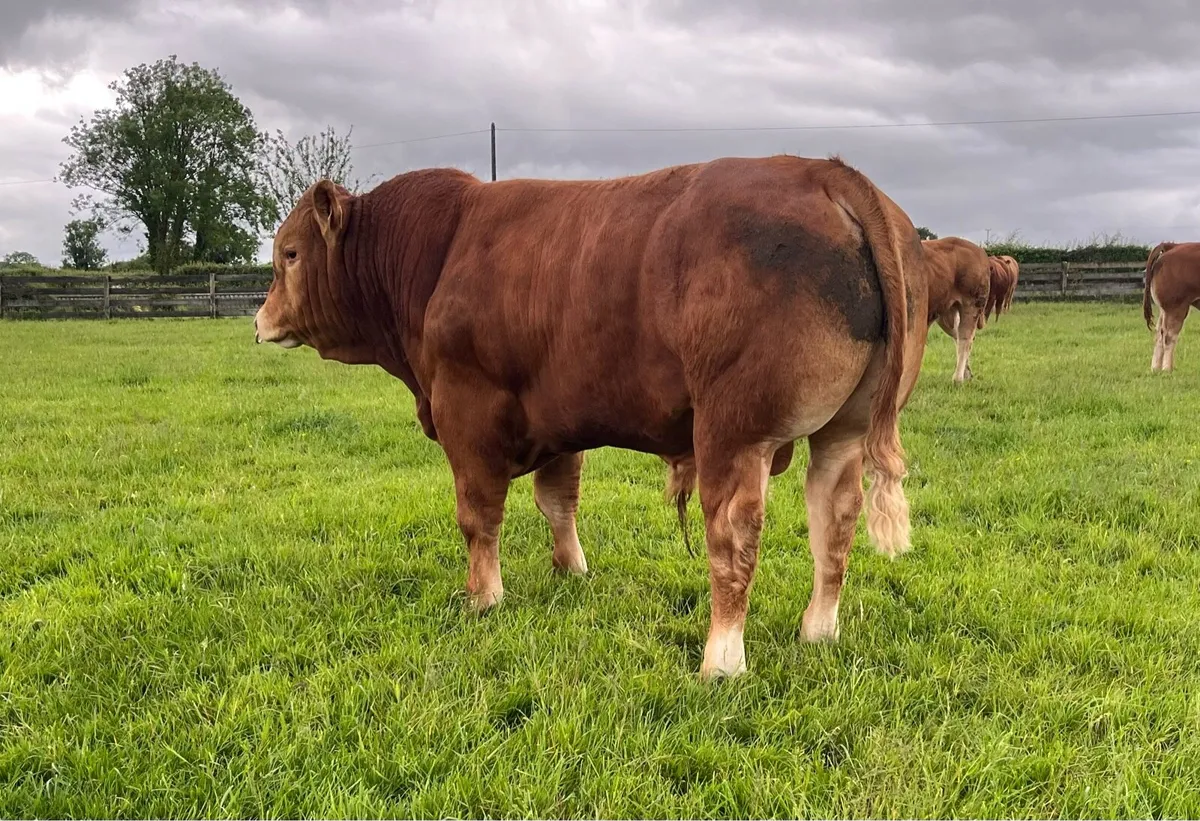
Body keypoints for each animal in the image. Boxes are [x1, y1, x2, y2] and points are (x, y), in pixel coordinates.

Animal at [252, 154, 931, 680]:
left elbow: (478, 517)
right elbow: (558, 501)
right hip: (843, 430)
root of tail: (824, 171)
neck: (437, 254)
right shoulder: (556, 420)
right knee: (835, 519)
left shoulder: (466, 415)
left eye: (290, 253)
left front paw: (483, 599)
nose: (259, 322)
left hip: (735, 430)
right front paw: (571, 572)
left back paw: (721, 661)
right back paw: (818, 631)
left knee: (734, 533)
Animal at [921, 237, 992, 382]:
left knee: (965, 338)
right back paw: (967, 374)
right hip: (945, 314)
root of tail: (980, 251)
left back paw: (958, 378)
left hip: (972, 305)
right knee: (958, 336)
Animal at [1144, 241, 1200, 371]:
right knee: (1169, 336)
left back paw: (1155, 368)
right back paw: (1167, 369)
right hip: (1176, 307)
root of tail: (1172, 245)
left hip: (1164, 310)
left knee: (1159, 334)